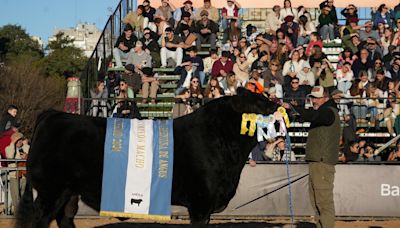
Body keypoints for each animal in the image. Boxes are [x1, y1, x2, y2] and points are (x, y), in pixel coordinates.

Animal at [15, 87, 278, 228]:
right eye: (259, 104)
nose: (279, 108)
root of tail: (52, 114)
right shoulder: (200, 203)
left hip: (68, 193)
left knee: (64, 219)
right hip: (50, 191)